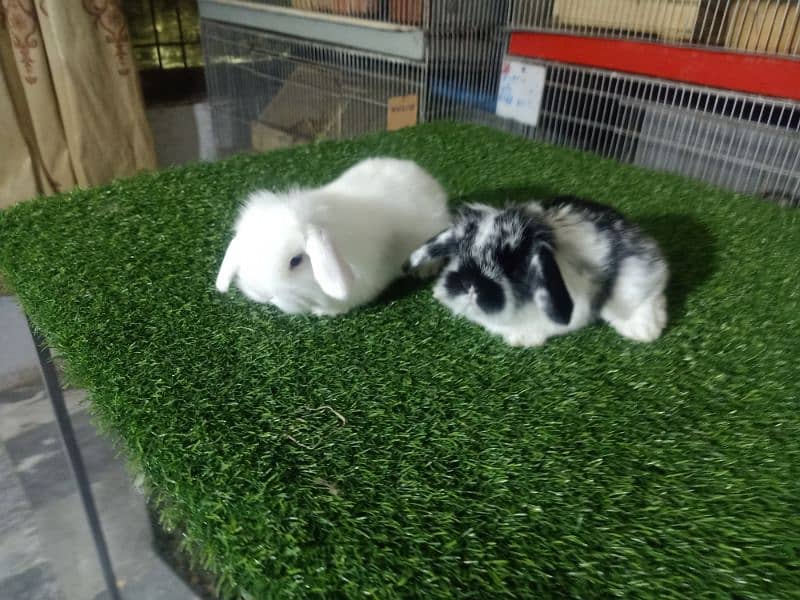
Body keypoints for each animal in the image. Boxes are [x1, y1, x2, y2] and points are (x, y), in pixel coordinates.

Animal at [406, 197, 668, 346]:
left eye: (513, 267)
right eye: (459, 252)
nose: (470, 285)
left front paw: (520, 340)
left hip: (631, 286)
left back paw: (645, 332)